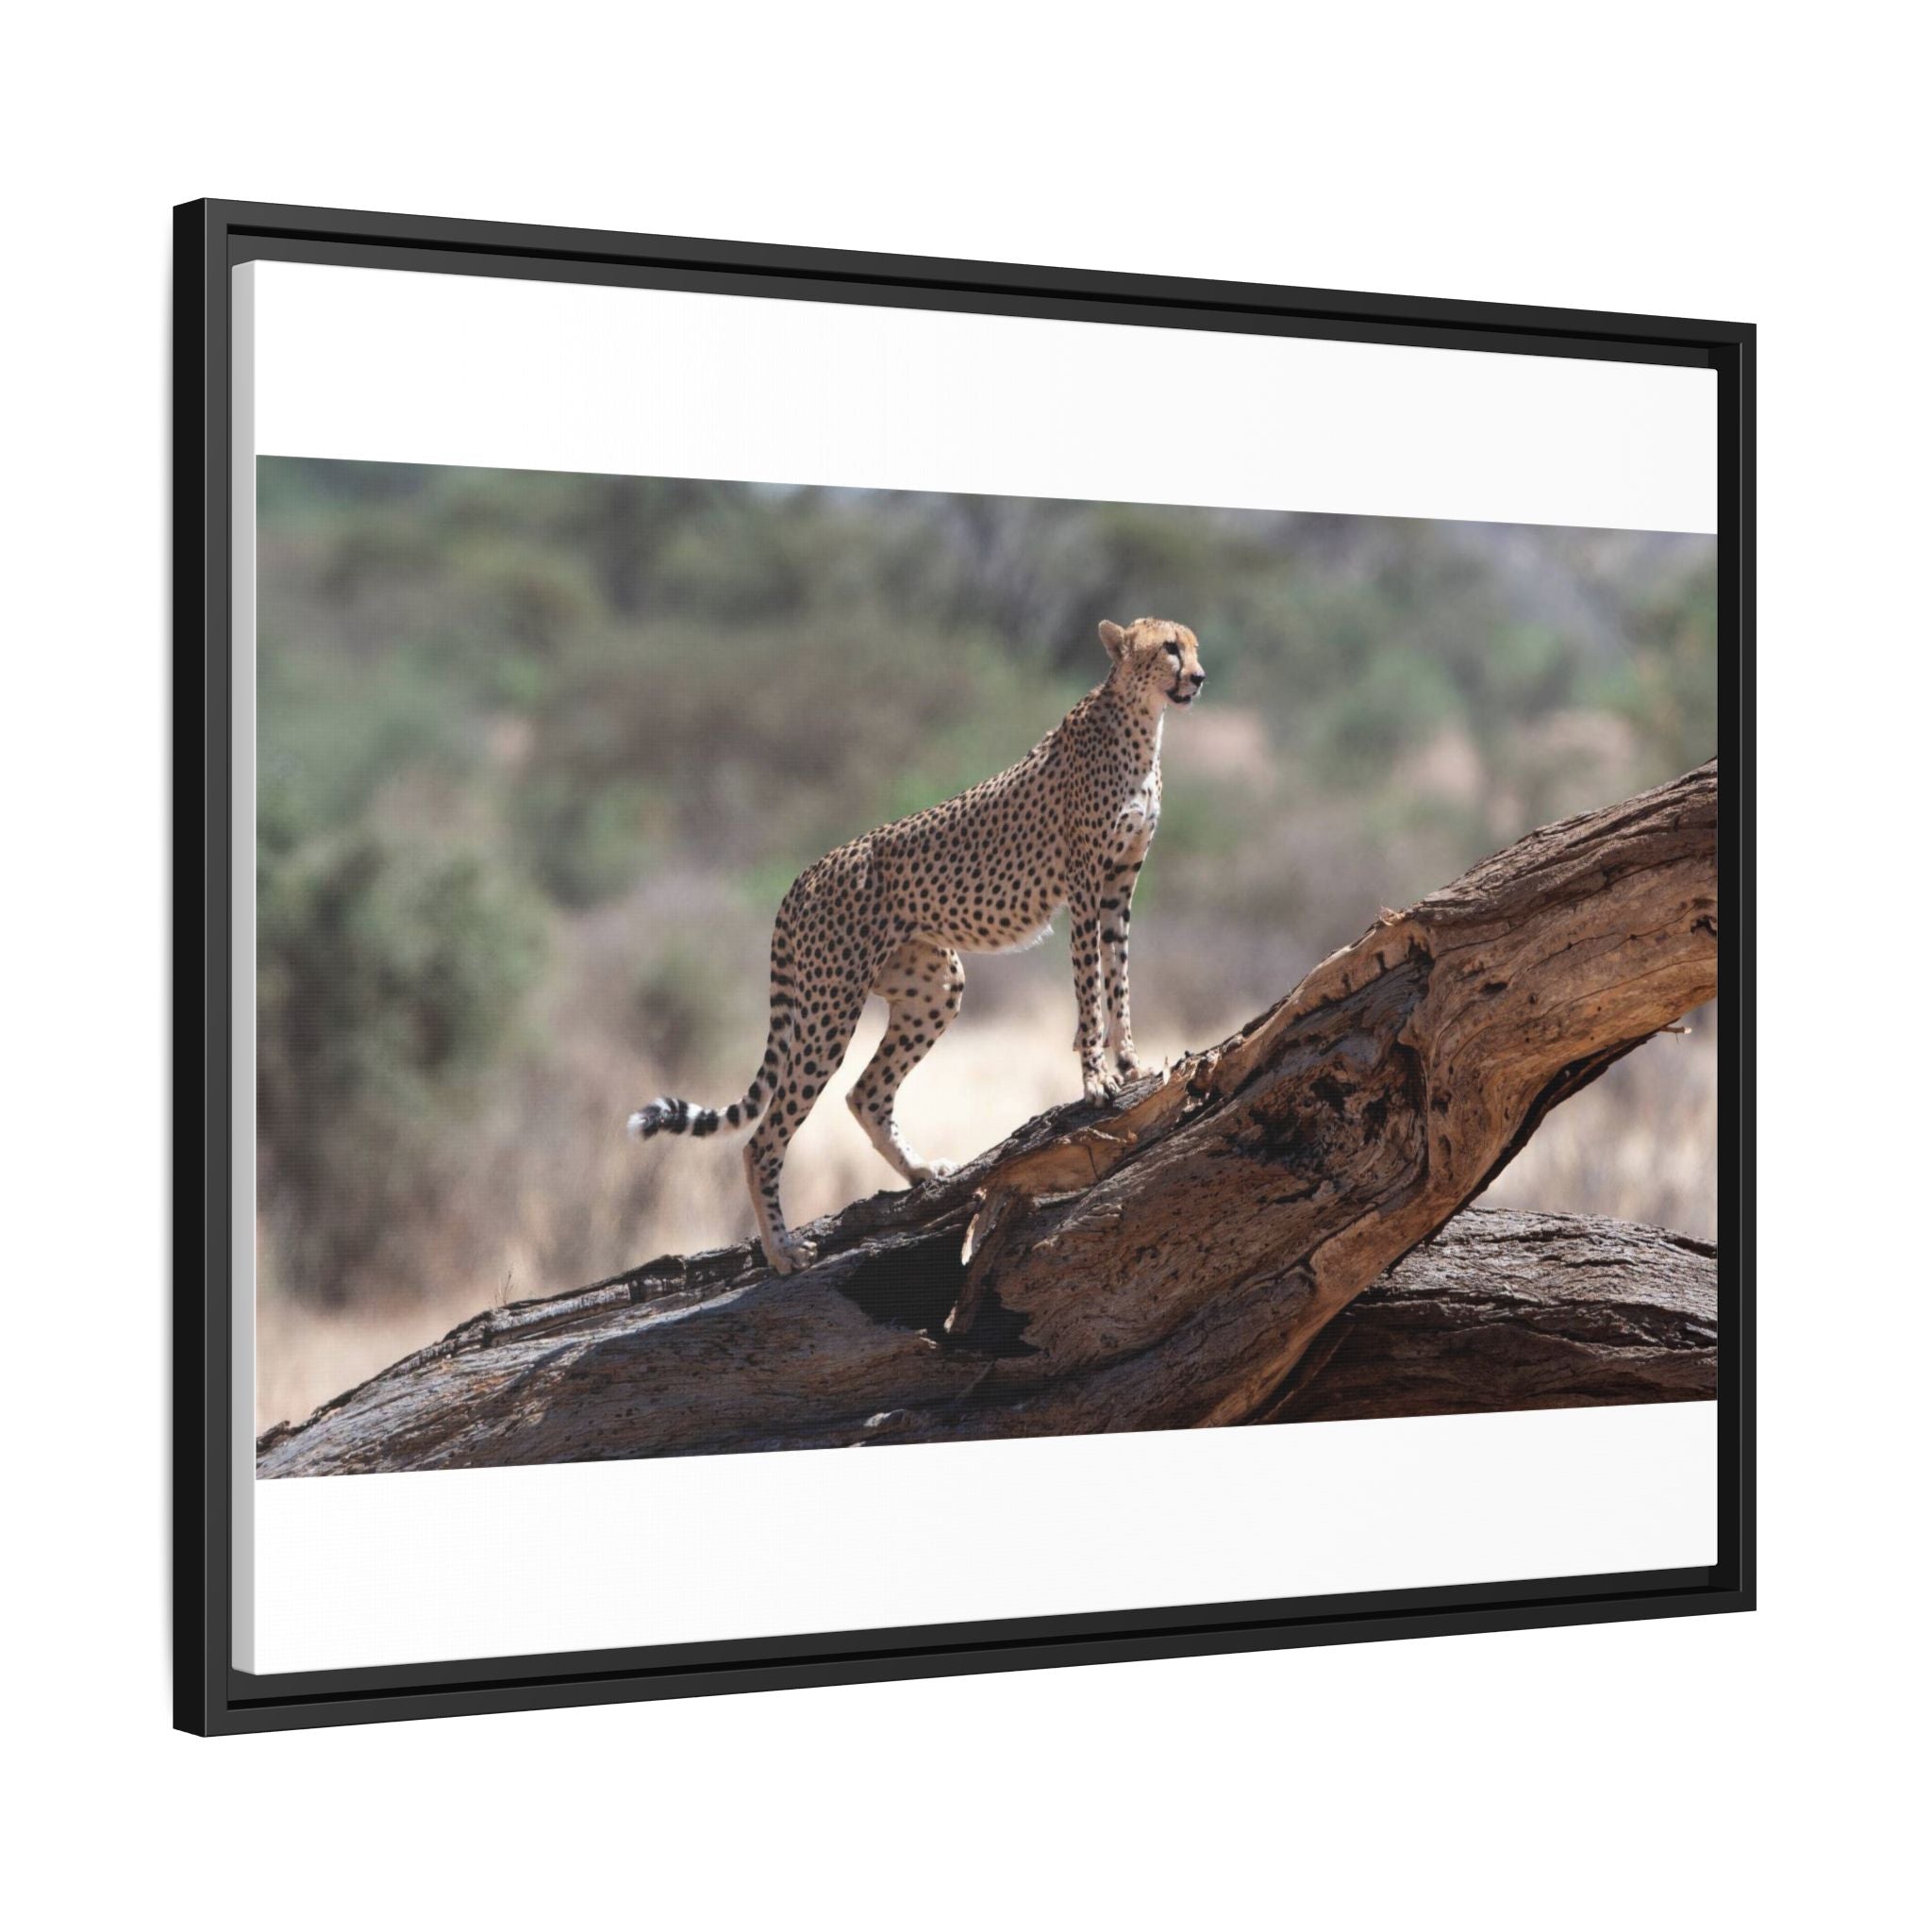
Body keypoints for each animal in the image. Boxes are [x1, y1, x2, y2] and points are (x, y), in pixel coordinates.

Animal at [627, 616, 1207, 1273]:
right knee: (764, 1136)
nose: (1198, 677)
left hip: (934, 986)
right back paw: (782, 1250)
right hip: (829, 1008)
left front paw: (1131, 1062)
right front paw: (1096, 1079)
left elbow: (1119, 977)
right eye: (1169, 648)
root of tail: (804, 875)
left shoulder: (1119, 886)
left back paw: (921, 1172)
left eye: (1193, 646)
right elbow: (1090, 988)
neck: (1141, 722)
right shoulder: (1084, 885)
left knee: (865, 1093)